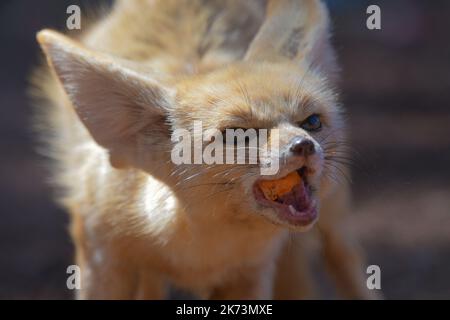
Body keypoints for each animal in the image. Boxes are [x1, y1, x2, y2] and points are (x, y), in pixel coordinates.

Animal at [33, 0, 374, 300]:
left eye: (312, 121)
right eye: (238, 135)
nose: (303, 145)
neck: (194, 251)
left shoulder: (251, 274)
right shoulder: (101, 257)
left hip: (335, 222)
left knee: (345, 265)